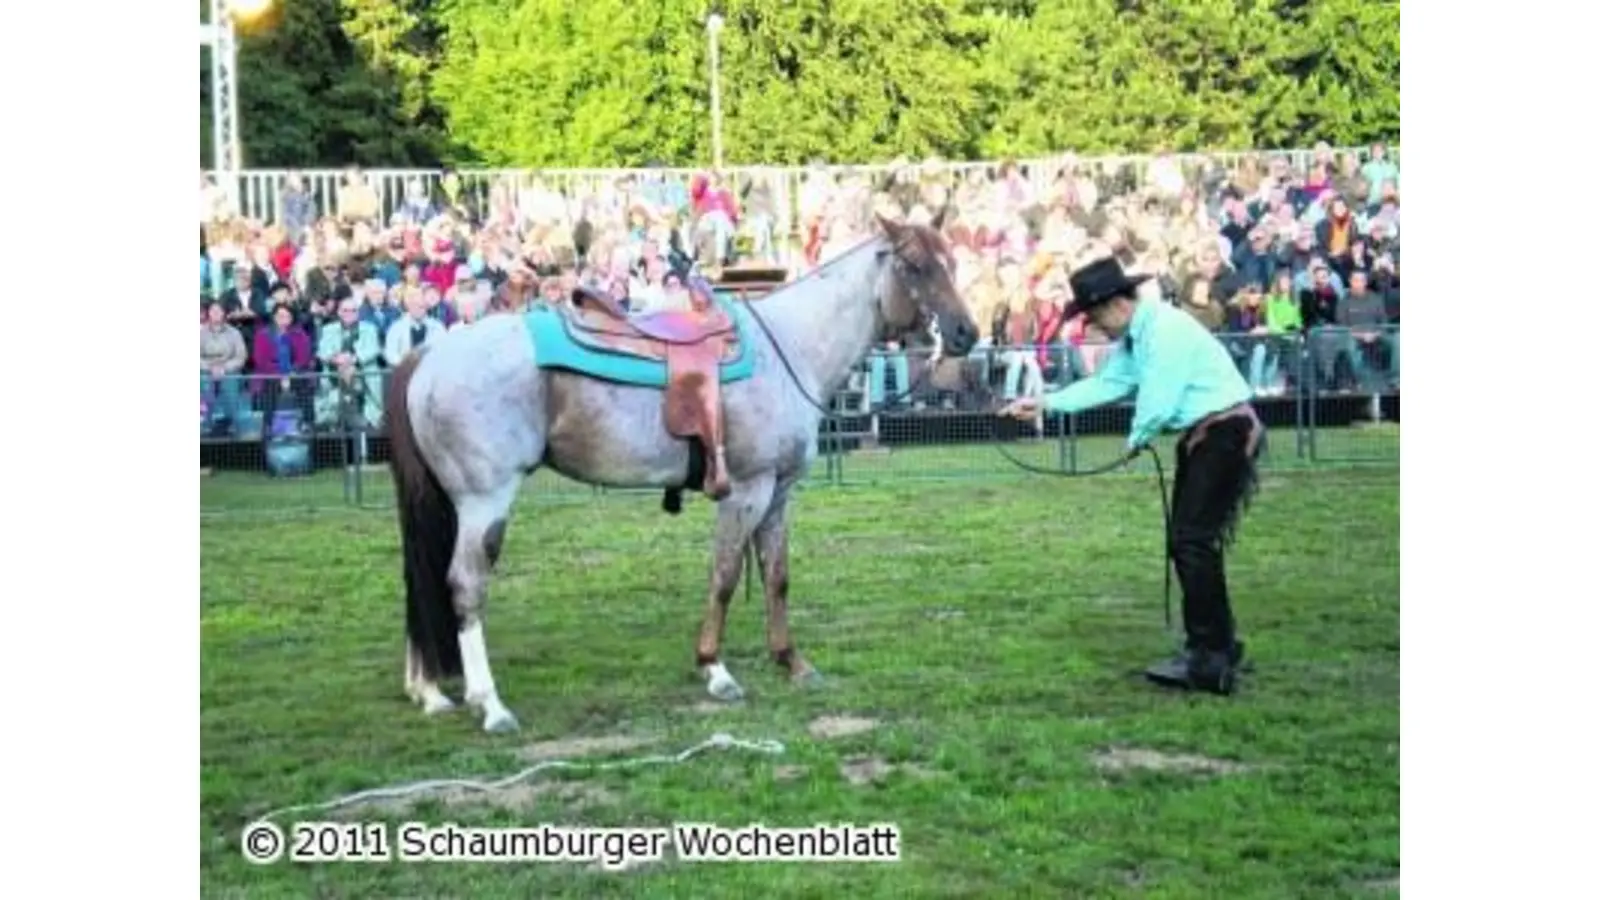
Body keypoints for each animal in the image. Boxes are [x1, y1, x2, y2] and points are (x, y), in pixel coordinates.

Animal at [386, 213, 979, 733]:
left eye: (951, 261)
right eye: (915, 266)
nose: (966, 333)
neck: (789, 348)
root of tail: (430, 353)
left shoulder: (780, 494)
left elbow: (777, 577)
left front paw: (791, 662)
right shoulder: (746, 491)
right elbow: (725, 576)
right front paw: (715, 669)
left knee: (421, 581)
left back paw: (429, 691)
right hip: (484, 503)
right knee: (464, 587)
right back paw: (490, 705)